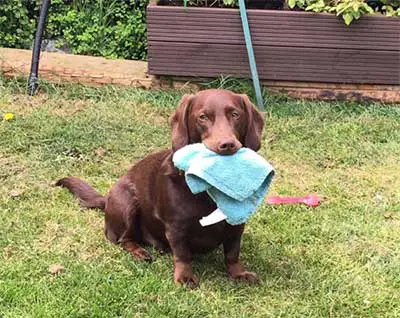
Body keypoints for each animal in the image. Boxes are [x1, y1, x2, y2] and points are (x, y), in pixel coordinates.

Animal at [55, 89, 262, 288]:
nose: (227, 144)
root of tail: (106, 199)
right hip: (126, 203)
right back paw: (140, 252)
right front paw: (185, 277)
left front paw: (239, 273)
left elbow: (232, 253)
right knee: (123, 239)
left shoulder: (237, 226)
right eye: (203, 117)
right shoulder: (176, 227)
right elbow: (182, 254)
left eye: (235, 114)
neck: (209, 190)